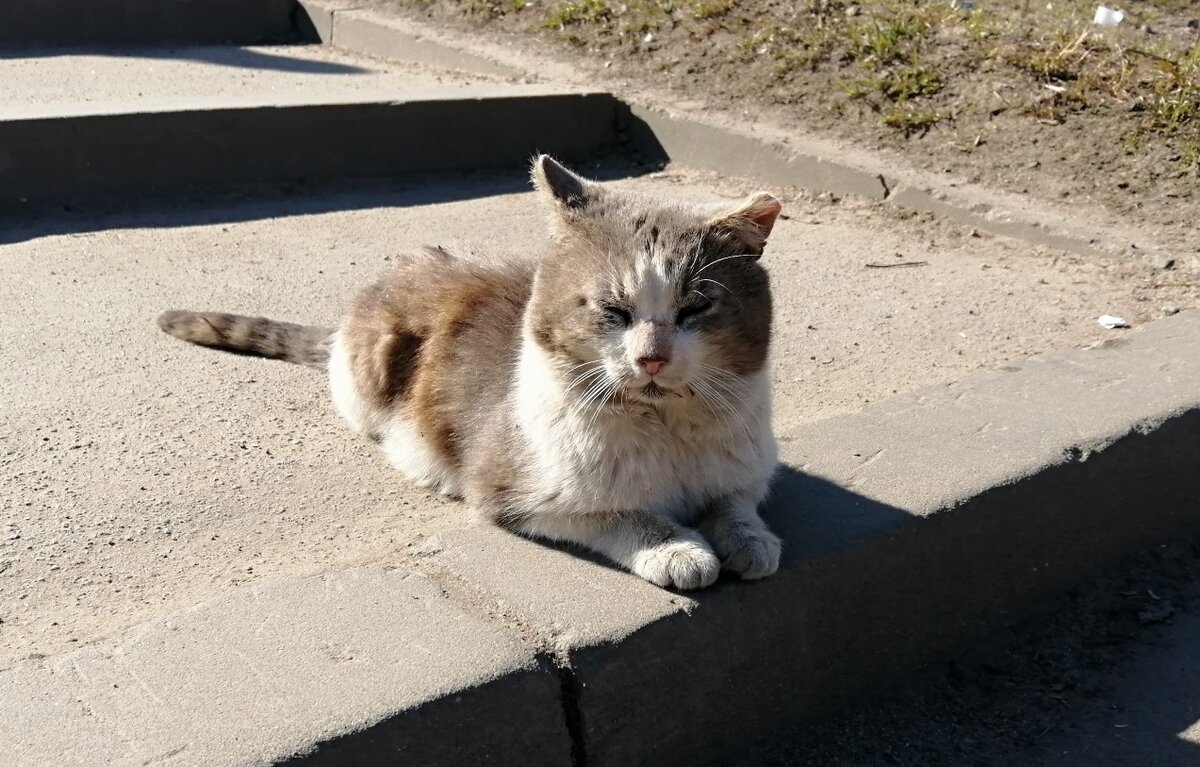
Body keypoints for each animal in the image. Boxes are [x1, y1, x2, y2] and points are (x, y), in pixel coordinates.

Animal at [157, 154, 777, 588]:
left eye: (696, 307)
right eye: (613, 309)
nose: (651, 357)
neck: (665, 430)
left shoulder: (744, 469)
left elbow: (735, 502)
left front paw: (750, 540)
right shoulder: (513, 490)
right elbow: (622, 514)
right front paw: (679, 548)